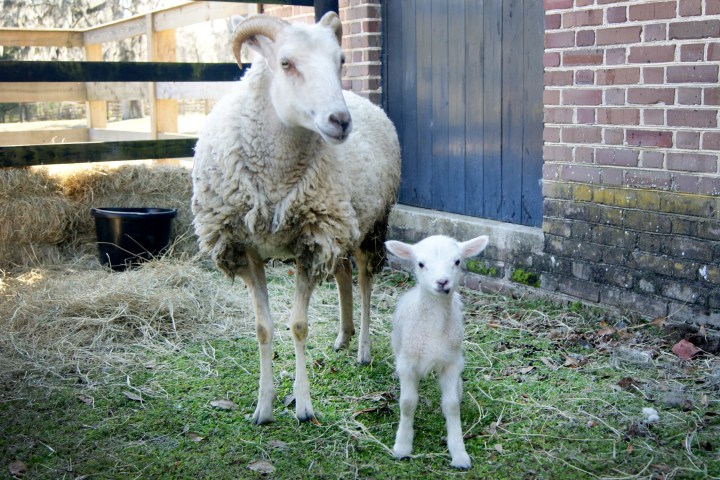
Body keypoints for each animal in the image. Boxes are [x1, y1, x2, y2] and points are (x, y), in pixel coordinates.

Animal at [191, 12, 401, 425]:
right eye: (286, 62)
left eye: (341, 60)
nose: (340, 121)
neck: (275, 179)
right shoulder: (248, 250)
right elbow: (263, 329)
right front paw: (263, 406)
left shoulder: (309, 244)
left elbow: (299, 326)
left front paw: (303, 406)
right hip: (339, 227)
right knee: (343, 275)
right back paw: (344, 335)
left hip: (369, 225)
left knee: (365, 281)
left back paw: (363, 348)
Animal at [384, 234, 490, 469]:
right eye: (421, 264)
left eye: (458, 261)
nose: (442, 282)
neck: (433, 328)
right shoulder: (408, 362)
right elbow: (407, 403)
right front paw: (402, 445)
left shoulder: (450, 362)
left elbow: (451, 406)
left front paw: (459, 452)